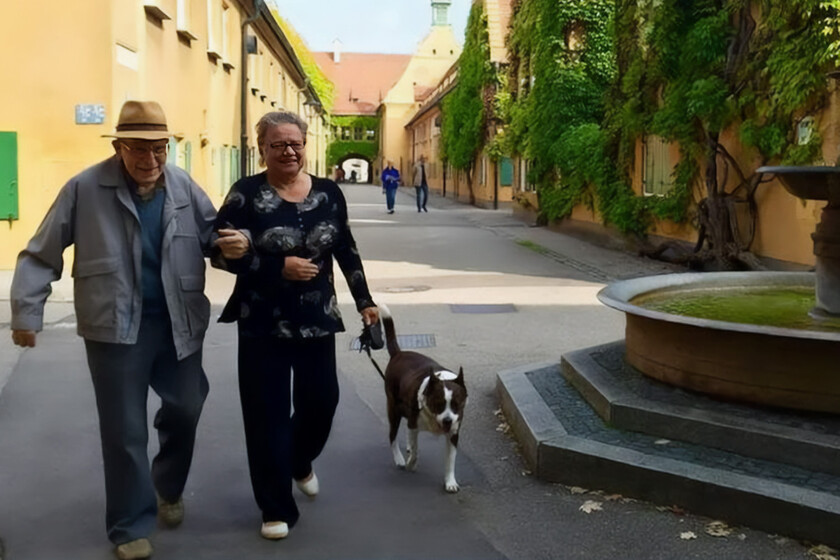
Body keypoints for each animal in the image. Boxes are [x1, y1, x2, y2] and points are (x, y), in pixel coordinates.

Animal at [378, 304, 467, 493]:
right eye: (438, 404)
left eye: (457, 404)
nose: (447, 420)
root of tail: (398, 354)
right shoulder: (414, 421)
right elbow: (416, 449)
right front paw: (411, 463)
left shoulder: (454, 433)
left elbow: (450, 460)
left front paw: (450, 482)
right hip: (394, 409)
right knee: (393, 435)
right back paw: (399, 458)